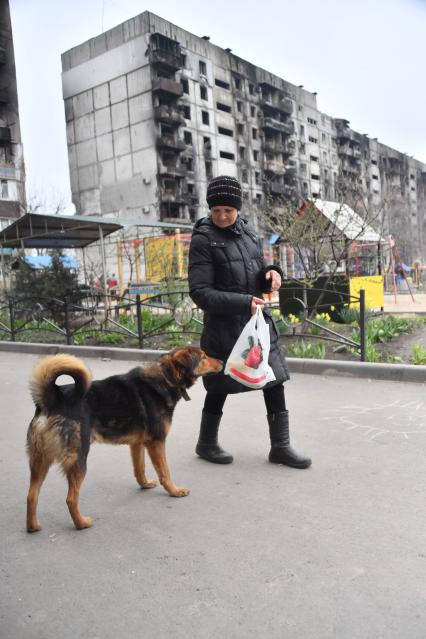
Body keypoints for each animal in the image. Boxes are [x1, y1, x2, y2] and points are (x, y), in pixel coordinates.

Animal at [25, 348, 223, 532]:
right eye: (204, 357)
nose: (222, 361)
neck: (166, 377)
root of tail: (51, 400)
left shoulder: (137, 444)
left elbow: (139, 469)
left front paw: (145, 484)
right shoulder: (156, 442)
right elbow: (165, 473)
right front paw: (174, 491)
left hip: (40, 460)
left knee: (31, 495)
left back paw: (33, 526)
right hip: (78, 458)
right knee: (71, 498)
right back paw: (81, 523)